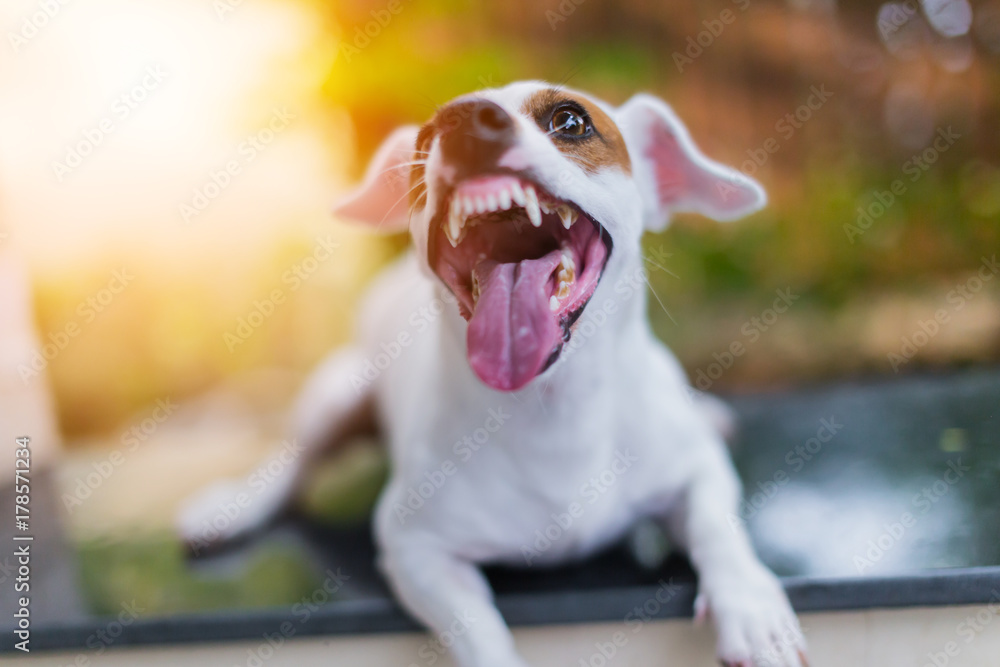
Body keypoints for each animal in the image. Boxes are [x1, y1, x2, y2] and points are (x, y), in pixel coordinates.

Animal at [178, 82, 804, 667]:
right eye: (424, 142)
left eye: (571, 121)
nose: (464, 122)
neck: (554, 410)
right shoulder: (414, 548)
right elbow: (476, 628)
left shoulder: (699, 473)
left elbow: (718, 528)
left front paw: (752, 609)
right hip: (338, 393)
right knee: (291, 461)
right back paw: (234, 507)